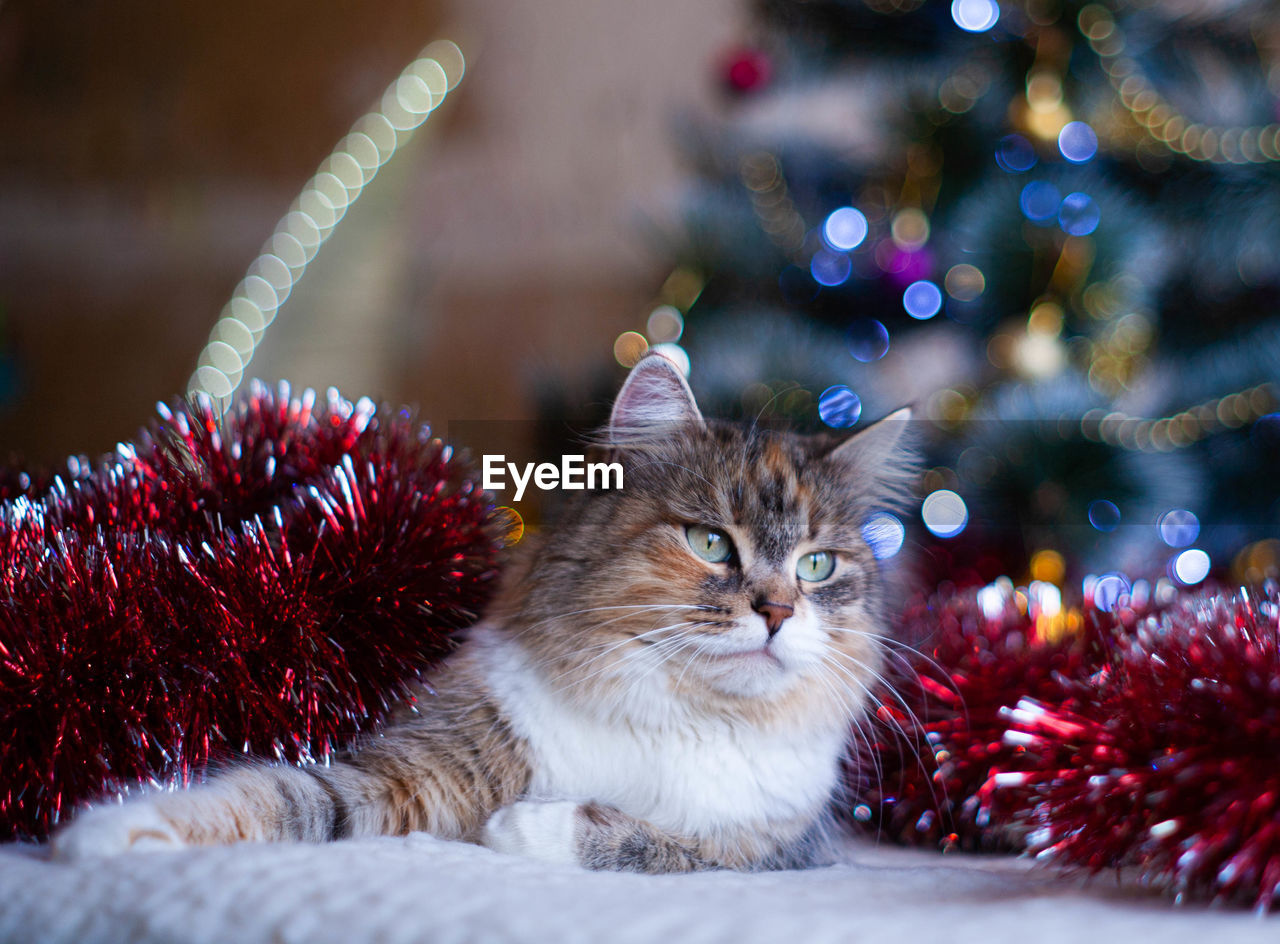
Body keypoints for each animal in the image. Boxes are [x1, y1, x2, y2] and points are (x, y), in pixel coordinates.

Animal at [49, 355, 911, 874]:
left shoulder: (787, 851)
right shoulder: (407, 780)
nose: (777, 611)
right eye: (711, 543)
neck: (679, 719)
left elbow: (653, 842)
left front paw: (523, 828)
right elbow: (280, 797)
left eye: (817, 566)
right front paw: (115, 833)